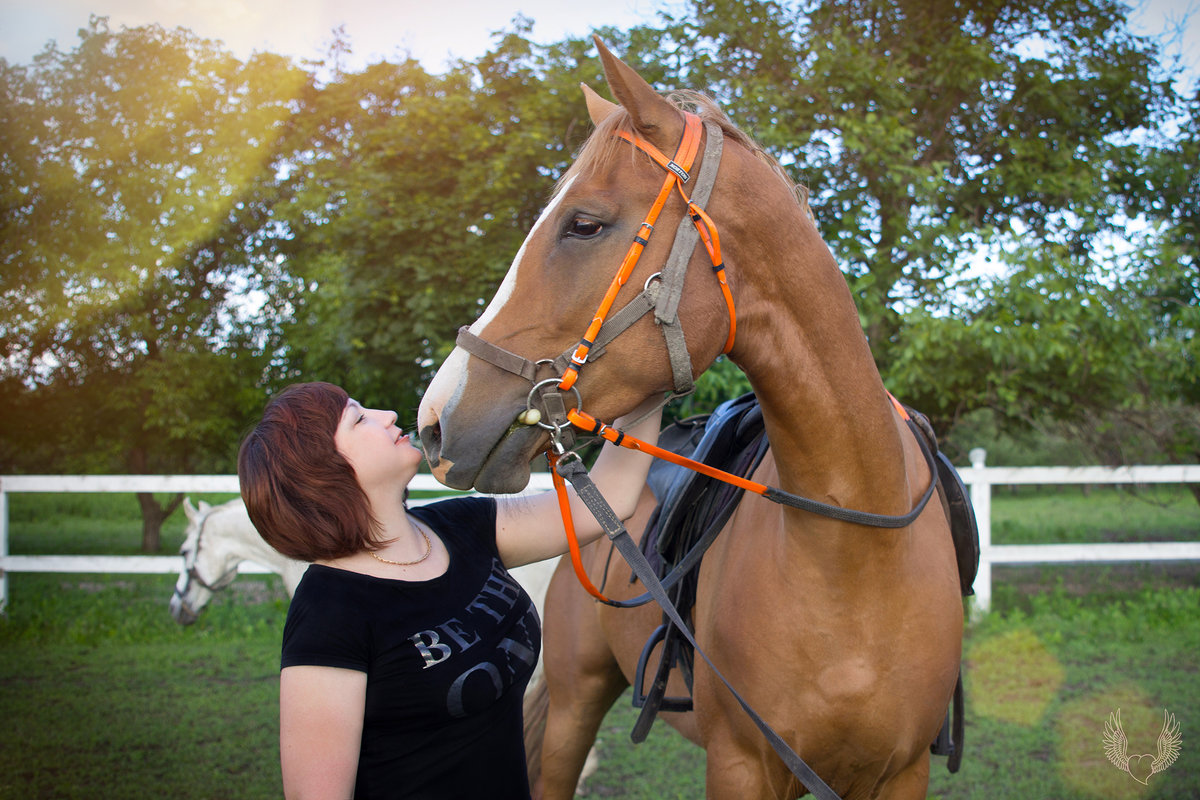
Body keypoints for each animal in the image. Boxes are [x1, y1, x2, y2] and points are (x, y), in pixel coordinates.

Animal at [417, 40, 960, 800]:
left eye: (584, 223)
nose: (435, 421)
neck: (857, 553)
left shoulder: (900, 773)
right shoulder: (741, 765)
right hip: (575, 703)